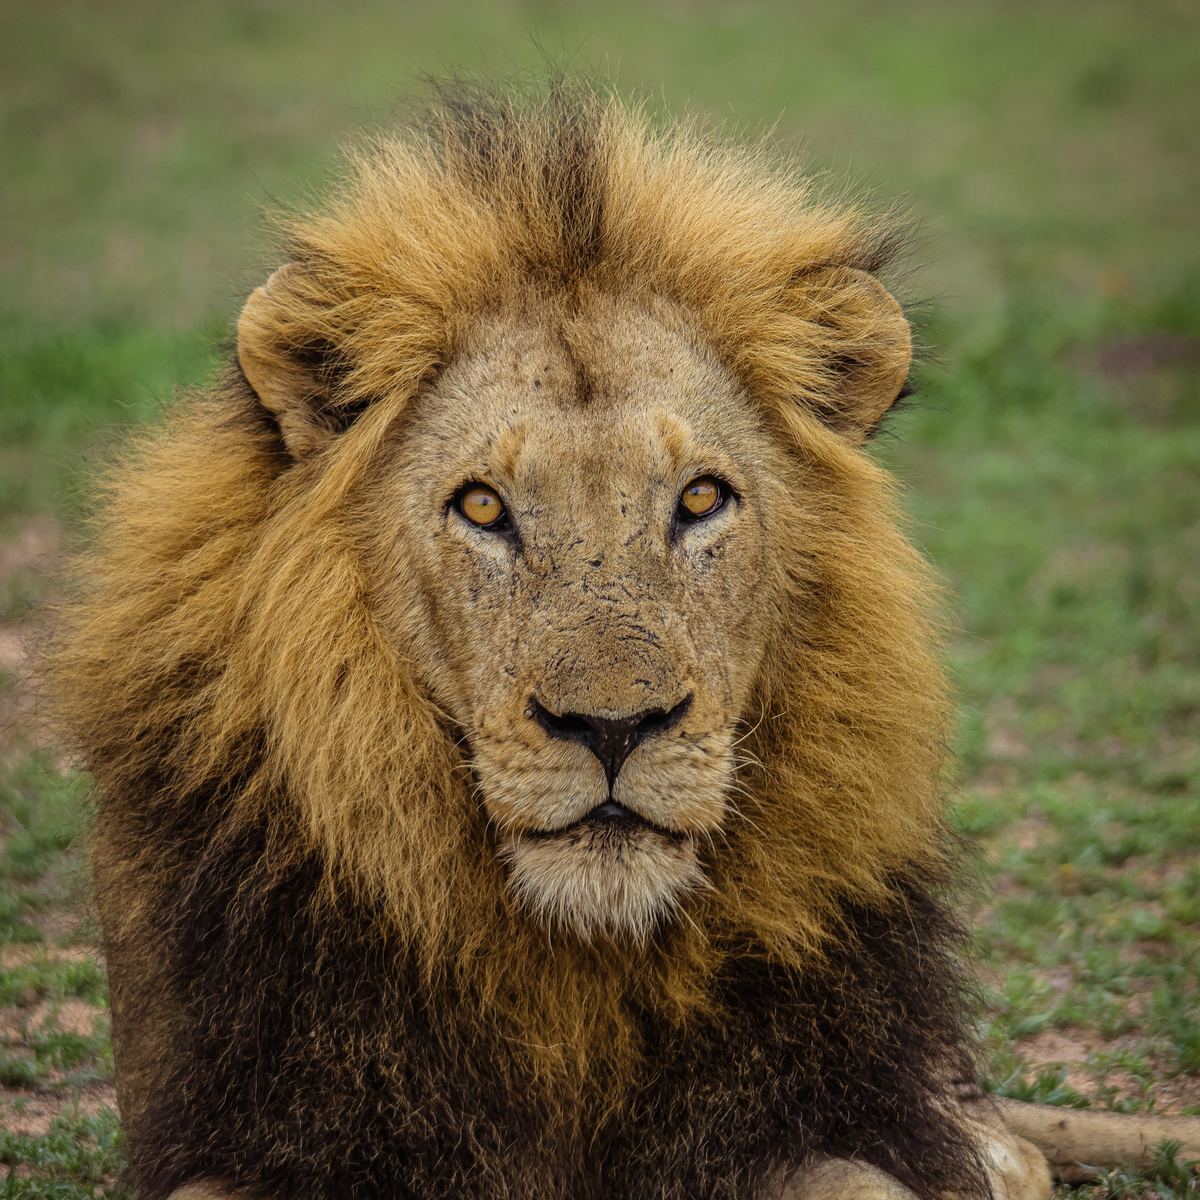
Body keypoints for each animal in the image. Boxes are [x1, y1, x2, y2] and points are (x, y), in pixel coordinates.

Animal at [49, 86, 1198, 1199]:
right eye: (482, 507)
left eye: (699, 500)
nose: (614, 728)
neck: (578, 971)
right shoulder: (256, 1122)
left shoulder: (799, 1117)